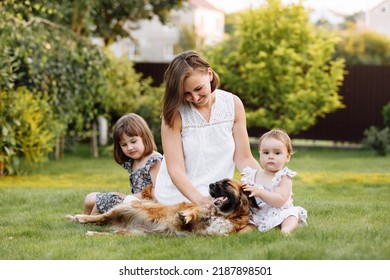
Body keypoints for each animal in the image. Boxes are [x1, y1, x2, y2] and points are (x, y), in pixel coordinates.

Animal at [65, 178, 258, 235]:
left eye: (226, 183)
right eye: (217, 182)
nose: (210, 185)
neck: (224, 214)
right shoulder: (200, 208)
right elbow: (193, 211)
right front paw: (186, 216)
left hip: (135, 234)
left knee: (107, 232)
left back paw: (92, 232)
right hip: (124, 208)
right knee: (100, 216)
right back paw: (81, 218)